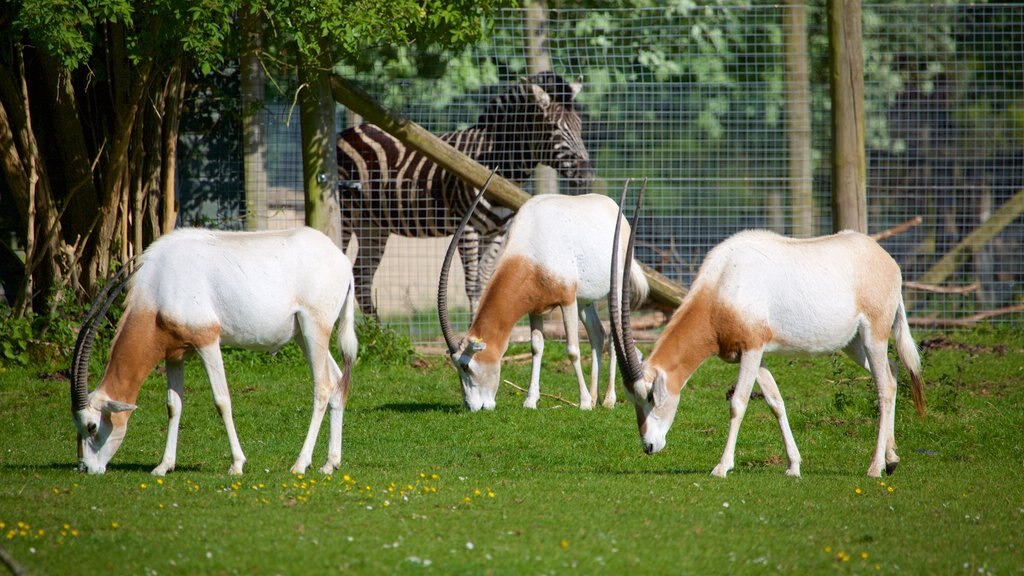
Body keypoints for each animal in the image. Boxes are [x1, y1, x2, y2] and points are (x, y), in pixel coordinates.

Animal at [70, 226, 358, 473]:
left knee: (323, 387)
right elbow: (173, 405)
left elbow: (222, 400)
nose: (86, 468)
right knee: (337, 382)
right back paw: (330, 463)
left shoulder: (207, 340)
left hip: (314, 328)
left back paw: (300, 463)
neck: (160, 283)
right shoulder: (174, 353)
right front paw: (164, 466)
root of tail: (342, 262)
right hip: (302, 335)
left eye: (92, 426)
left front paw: (237, 464)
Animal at [337, 71, 593, 317]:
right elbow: (473, 286)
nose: (588, 175)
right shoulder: (468, 228)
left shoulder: (497, 232)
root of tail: (346, 132)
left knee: (362, 277)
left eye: (580, 125)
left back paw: (376, 331)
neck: (498, 167)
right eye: (554, 128)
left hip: (372, 224)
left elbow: (485, 281)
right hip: (345, 215)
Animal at [438, 177, 647, 409]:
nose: (471, 406)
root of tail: (613, 208)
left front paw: (583, 402)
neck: (532, 245)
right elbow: (536, 348)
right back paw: (595, 397)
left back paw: (608, 399)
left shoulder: (567, 301)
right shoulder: (535, 308)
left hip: (614, 290)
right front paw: (531, 400)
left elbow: (572, 350)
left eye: (467, 366)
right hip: (584, 300)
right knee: (597, 334)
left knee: (613, 337)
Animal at [606, 186, 929, 477]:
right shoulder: (752, 353)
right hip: (853, 343)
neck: (723, 283)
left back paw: (875, 467)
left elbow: (738, 403)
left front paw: (722, 467)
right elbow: (775, 402)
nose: (648, 446)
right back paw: (891, 459)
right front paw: (793, 466)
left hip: (875, 334)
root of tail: (888, 261)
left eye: (650, 397)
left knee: (884, 387)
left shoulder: (752, 348)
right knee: (892, 372)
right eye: (633, 399)